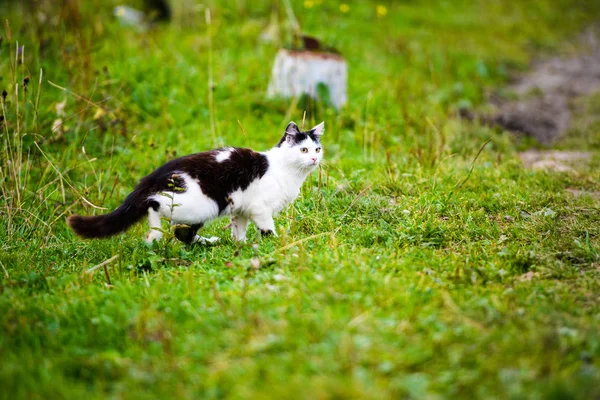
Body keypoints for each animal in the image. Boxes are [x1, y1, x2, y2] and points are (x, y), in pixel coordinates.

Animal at [67, 120, 324, 242]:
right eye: (303, 149)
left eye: (317, 149)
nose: (314, 158)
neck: (285, 170)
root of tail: (154, 174)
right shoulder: (259, 208)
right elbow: (267, 228)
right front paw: (275, 244)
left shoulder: (241, 209)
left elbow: (239, 230)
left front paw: (240, 246)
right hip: (200, 205)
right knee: (157, 209)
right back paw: (153, 235)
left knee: (183, 235)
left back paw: (209, 242)